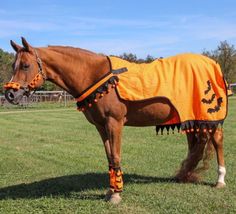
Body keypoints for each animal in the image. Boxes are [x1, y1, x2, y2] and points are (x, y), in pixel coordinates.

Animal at [4, 38, 227, 204]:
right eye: (14, 65)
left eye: (25, 65)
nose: (10, 95)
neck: (97, 75)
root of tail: (212, 63)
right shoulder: (101, 127)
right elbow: (110, 157)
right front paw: (111, 191)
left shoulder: (114, 123)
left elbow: (117, 156)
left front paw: (117, 195)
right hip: (191, 118)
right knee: (195, 146)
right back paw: (185, 175)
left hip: (209, 116)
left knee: (216, 141)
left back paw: (220, 180)